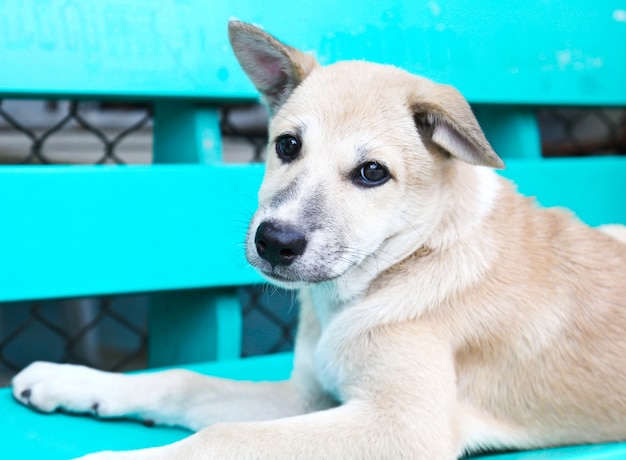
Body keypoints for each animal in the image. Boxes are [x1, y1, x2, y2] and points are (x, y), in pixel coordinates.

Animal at [9, 19, 624, 458]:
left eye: (372, 173)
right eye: (286, 145)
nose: (274, 241)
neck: (398, 266)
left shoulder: (401, 426)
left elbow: (224, 437)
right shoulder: (304, 396)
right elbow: (182, 382)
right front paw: (69, 380)